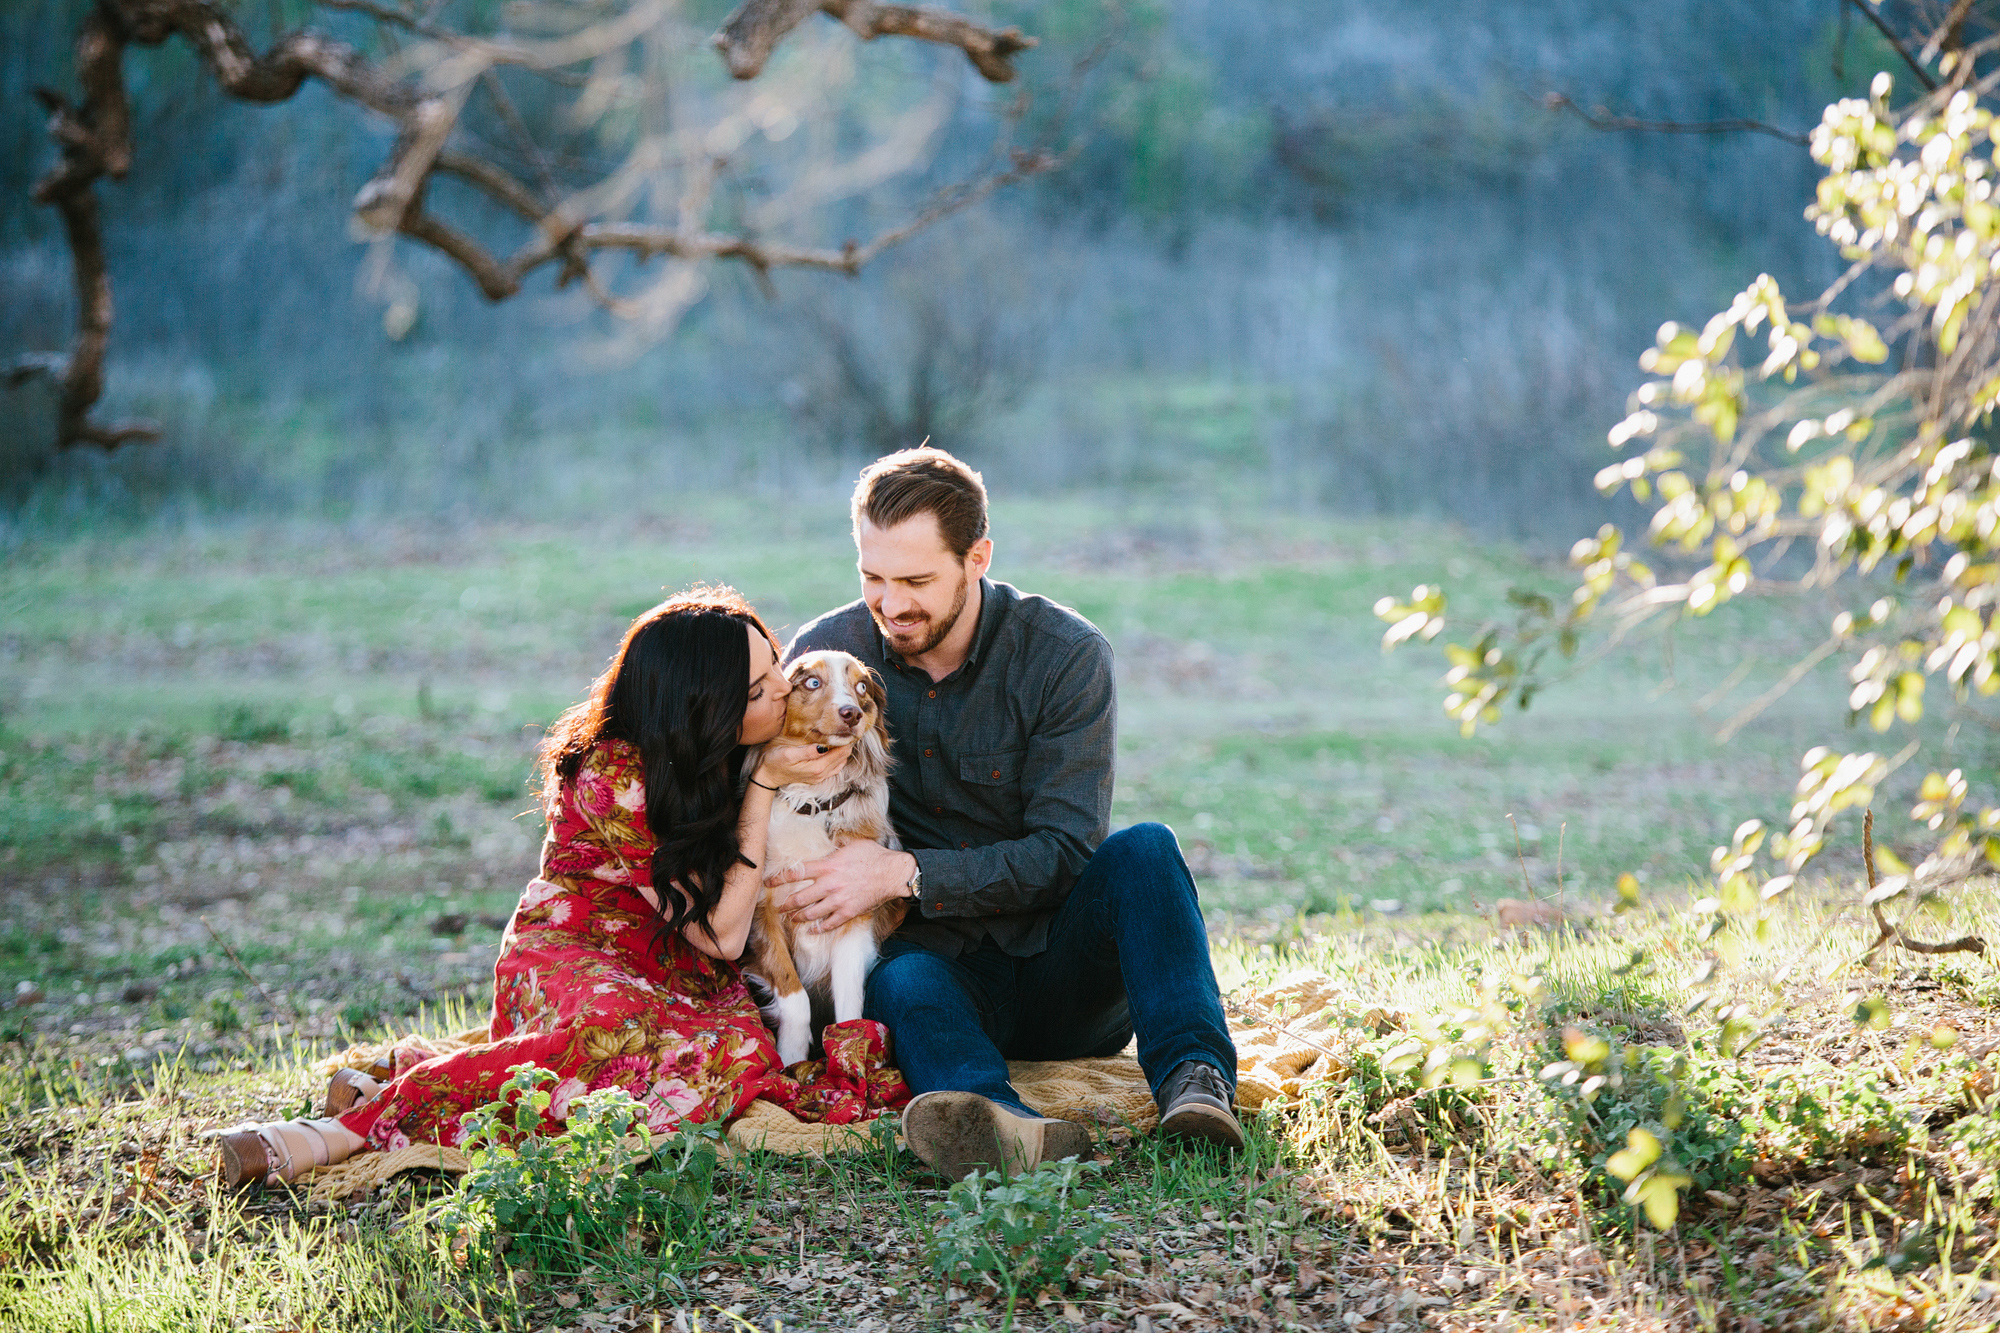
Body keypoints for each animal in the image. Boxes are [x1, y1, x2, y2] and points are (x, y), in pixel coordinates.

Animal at [744, 644, 908, 1056]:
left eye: (862, 686)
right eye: (812, 682)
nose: (851, 713)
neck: (814, 800)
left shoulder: (854, 912)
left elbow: (849, 1006)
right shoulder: (763, 915)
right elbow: (795, 997)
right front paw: (790, 1056)